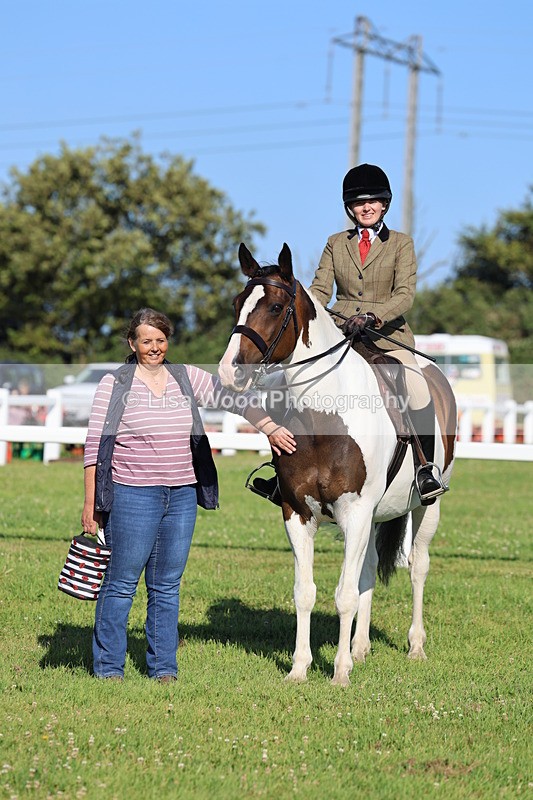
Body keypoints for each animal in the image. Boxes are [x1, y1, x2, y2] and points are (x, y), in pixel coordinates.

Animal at [218, 243, 457, 686]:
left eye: (275, 307)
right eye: (238, 304)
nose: (229, 373)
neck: (323, 417)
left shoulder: (356, 512)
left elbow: (344, 593)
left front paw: (340, 672)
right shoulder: (297, 513)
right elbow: (306, 592)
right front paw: (299, 668)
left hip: (426, 505)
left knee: (418, 567)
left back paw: (414, 647)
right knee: (369, 569)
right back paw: (361, 647)